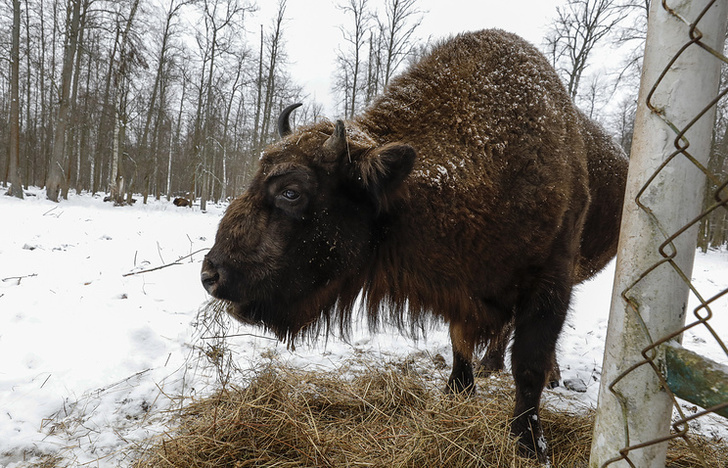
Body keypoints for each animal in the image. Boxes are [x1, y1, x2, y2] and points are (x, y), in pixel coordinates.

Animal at [200, 29, 624, 460]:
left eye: (291, 192)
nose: (211, 275)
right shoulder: (462, 290)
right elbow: (459, 340)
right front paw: (458, 391)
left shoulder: (550, 282)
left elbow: (529, 364)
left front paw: (529, 444)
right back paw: (490, 365)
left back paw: (548, 377)